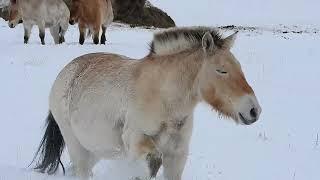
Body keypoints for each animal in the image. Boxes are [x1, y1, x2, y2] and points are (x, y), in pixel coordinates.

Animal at [32, 27, 262, 180]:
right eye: (221, 70)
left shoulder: (177, 155)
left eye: (239, 67)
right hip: (76, 146)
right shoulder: (136, 140)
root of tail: (65, 73)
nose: (254, 110)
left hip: (95, 150)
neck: (164, 99)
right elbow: (152, 159)